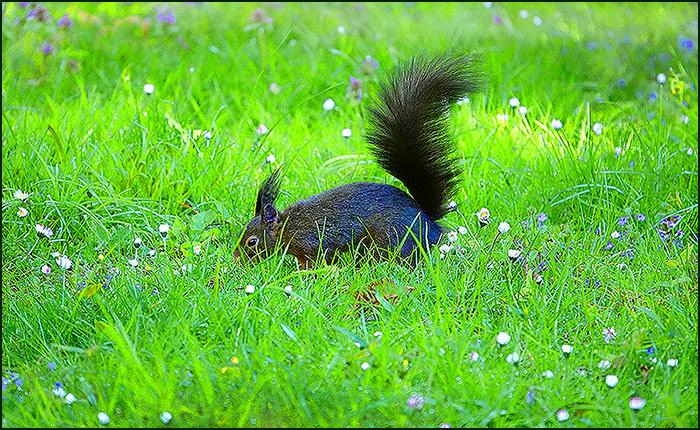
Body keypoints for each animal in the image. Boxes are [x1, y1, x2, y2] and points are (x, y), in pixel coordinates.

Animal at [235, 54, 484, 268]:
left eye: (252, 242)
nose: (237, 259)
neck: (288, 226)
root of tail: (427, 219)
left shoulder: (312, 243)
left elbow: (316, 261)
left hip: (391, 237)